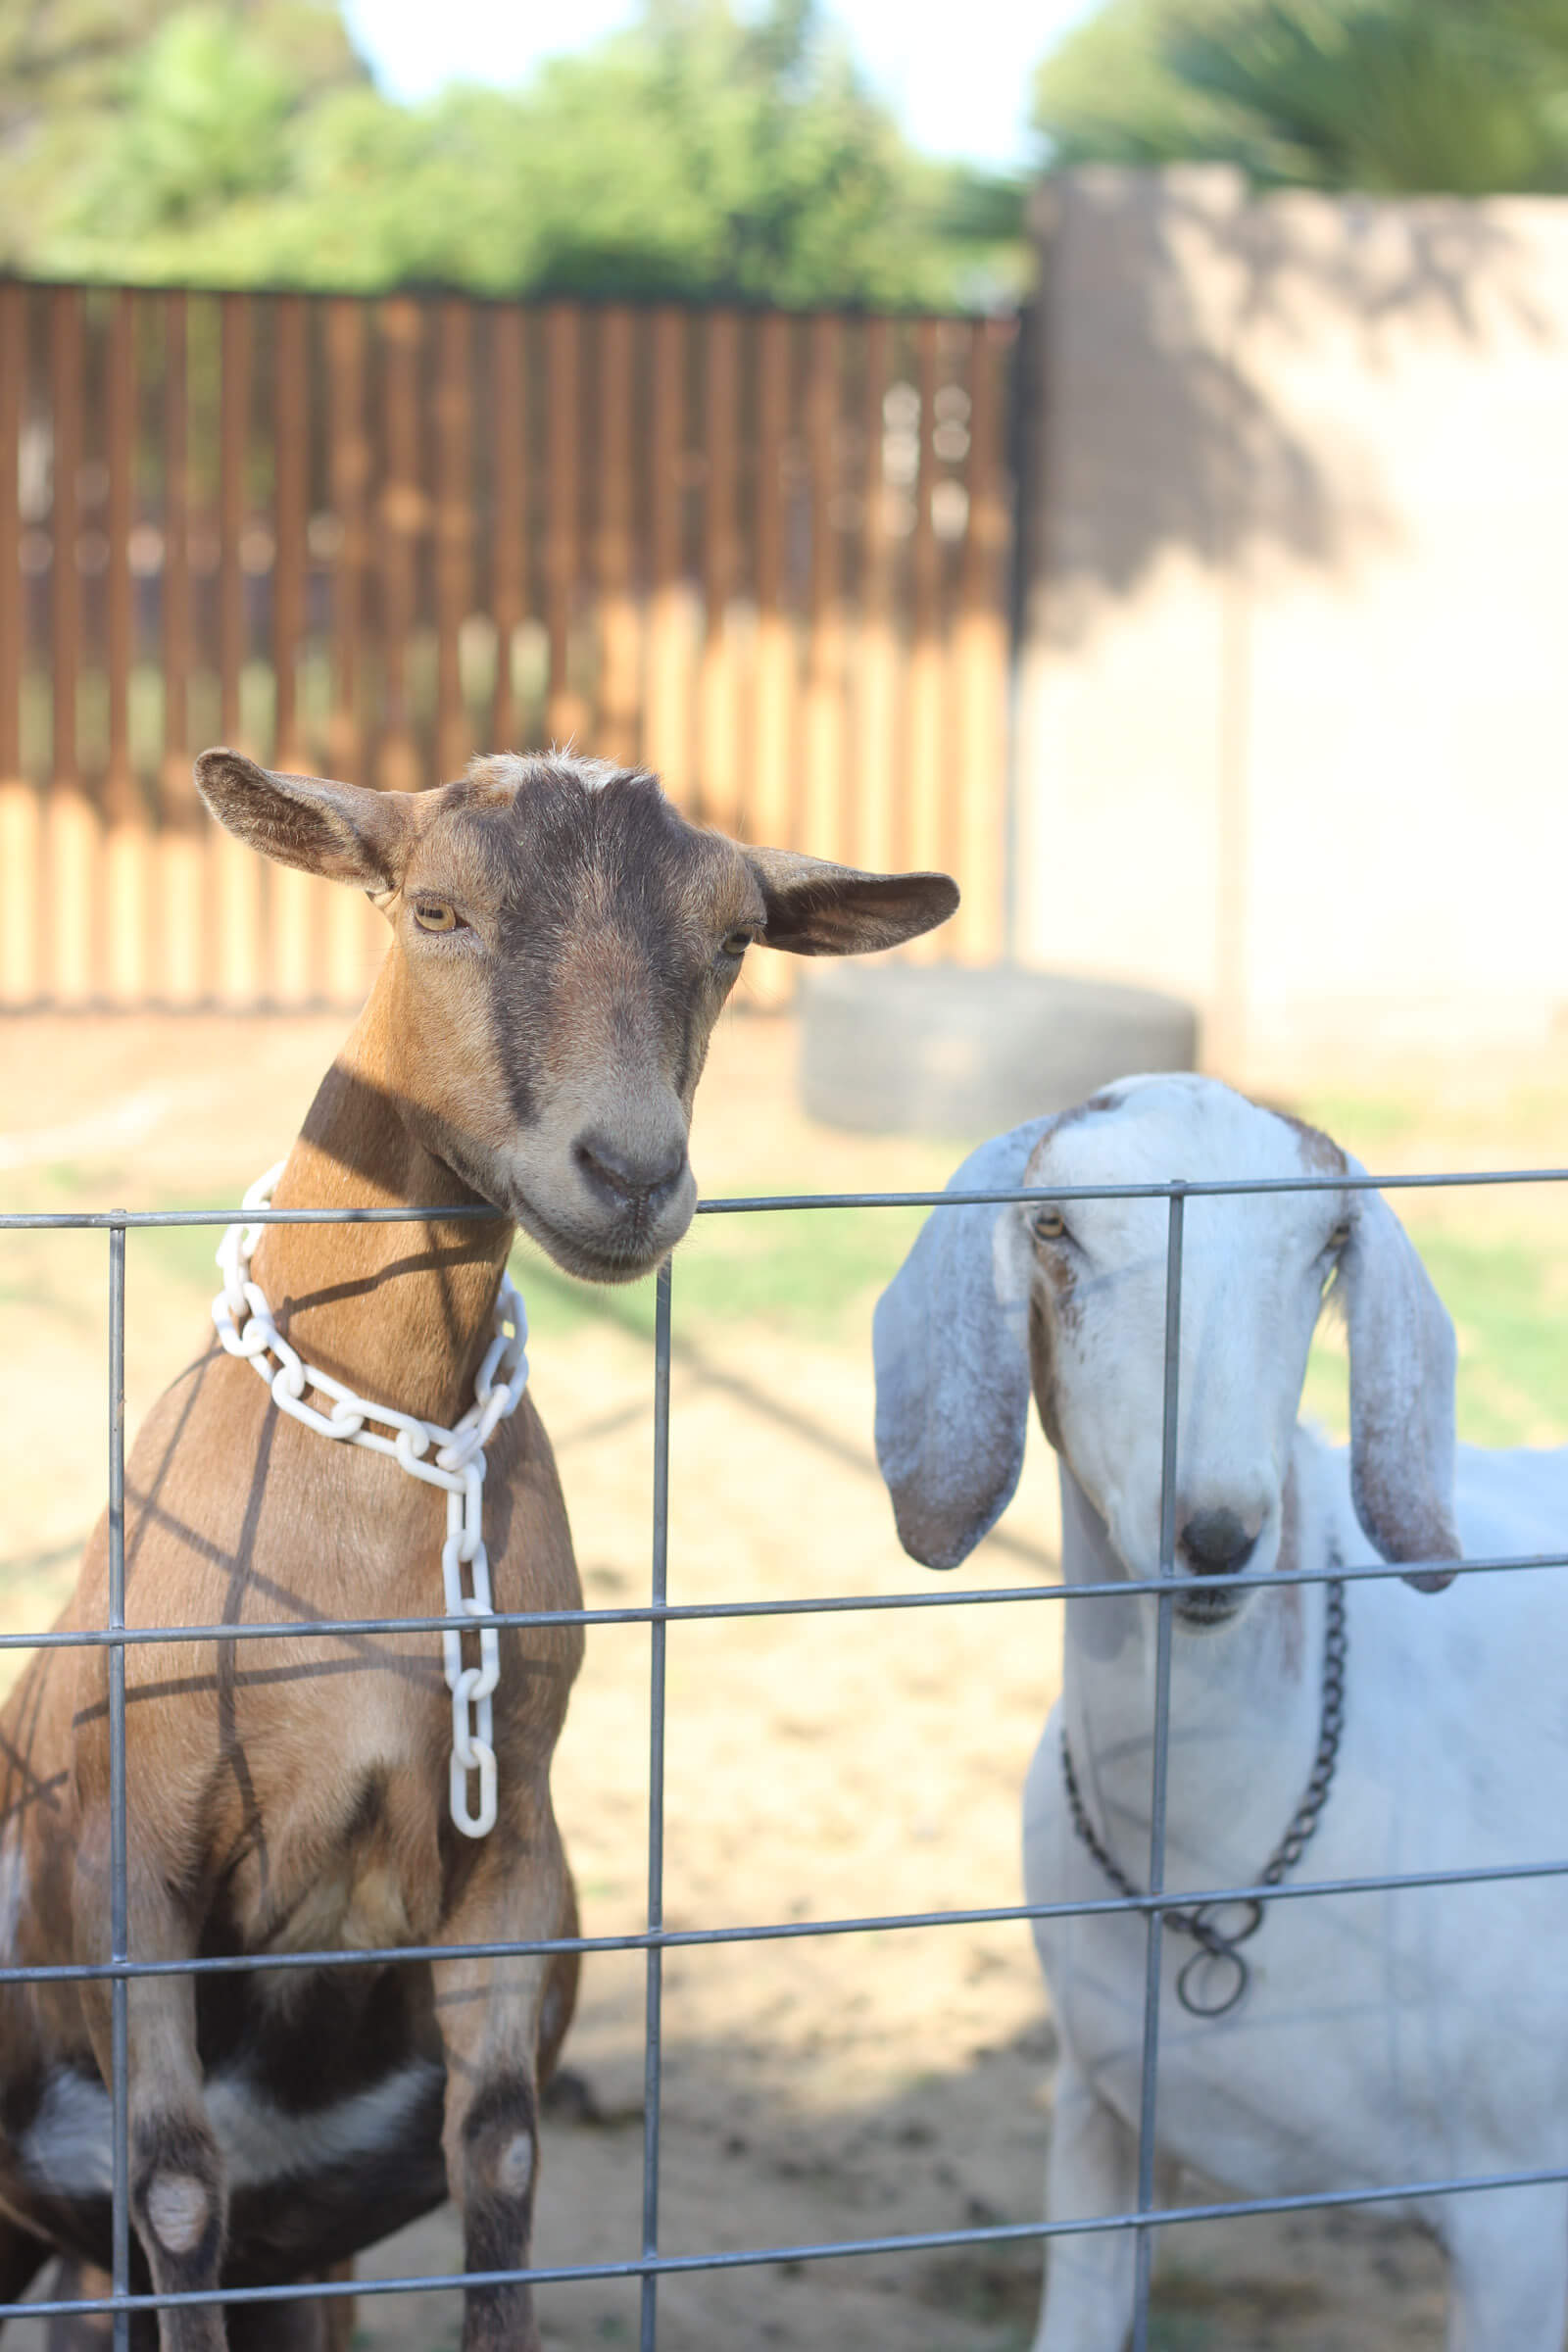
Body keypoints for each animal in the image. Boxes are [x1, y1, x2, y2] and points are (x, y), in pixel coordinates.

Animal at [0, 743, 958, 2342]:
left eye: (732, 939)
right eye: (436, 908)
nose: (628, 1173)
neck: (387, 1456)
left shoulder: (509, 1837)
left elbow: (500, 2155)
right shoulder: (136, 1852)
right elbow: (177, 2184)